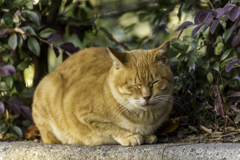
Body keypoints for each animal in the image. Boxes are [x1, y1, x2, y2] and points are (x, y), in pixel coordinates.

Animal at [32, 41, 173, 146]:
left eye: (155, 82)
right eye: (134, 85)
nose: (147, 96)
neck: (145, 119)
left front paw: (147, 135)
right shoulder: (82, 114)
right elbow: (112, 127)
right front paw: (130, 136)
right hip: (48, 85)